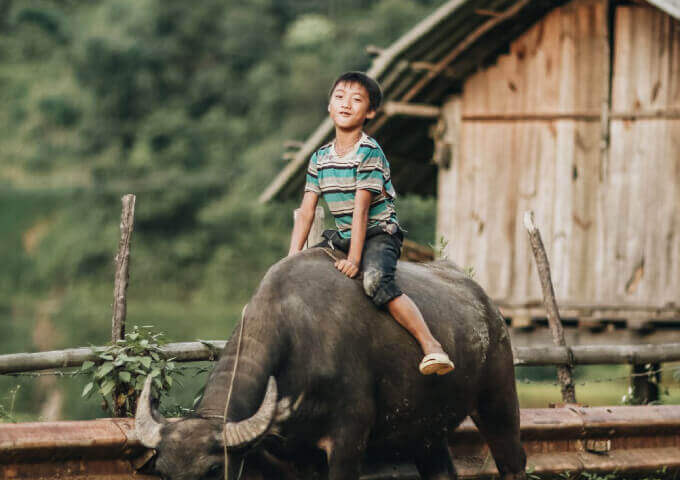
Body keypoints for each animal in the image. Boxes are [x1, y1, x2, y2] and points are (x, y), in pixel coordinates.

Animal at [135, 248, 526, 480]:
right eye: (163, 472)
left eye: (213, 470)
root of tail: (488, 307)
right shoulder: (292, 456)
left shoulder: (348, 439)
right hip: (426, 430)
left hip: (498, 399)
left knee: (513, 459)